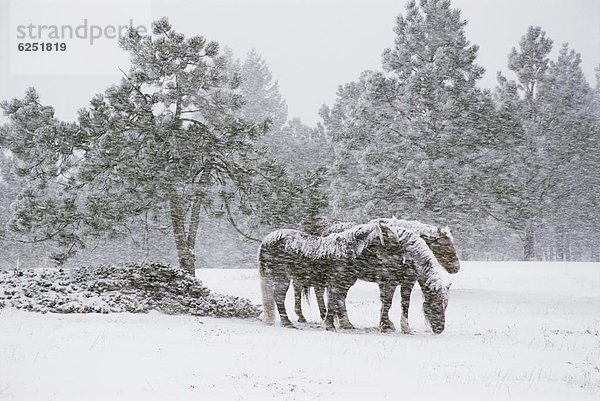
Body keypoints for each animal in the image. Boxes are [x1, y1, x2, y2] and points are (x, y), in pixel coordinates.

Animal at [258, 220, 450, 332]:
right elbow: (336, 302)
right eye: (434, 306)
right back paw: (288, 322)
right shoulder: (383, 281)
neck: (346, 250)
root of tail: (267, 240)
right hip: (282, 278)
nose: (440, 329)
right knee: (279, 298)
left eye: (445, 305)